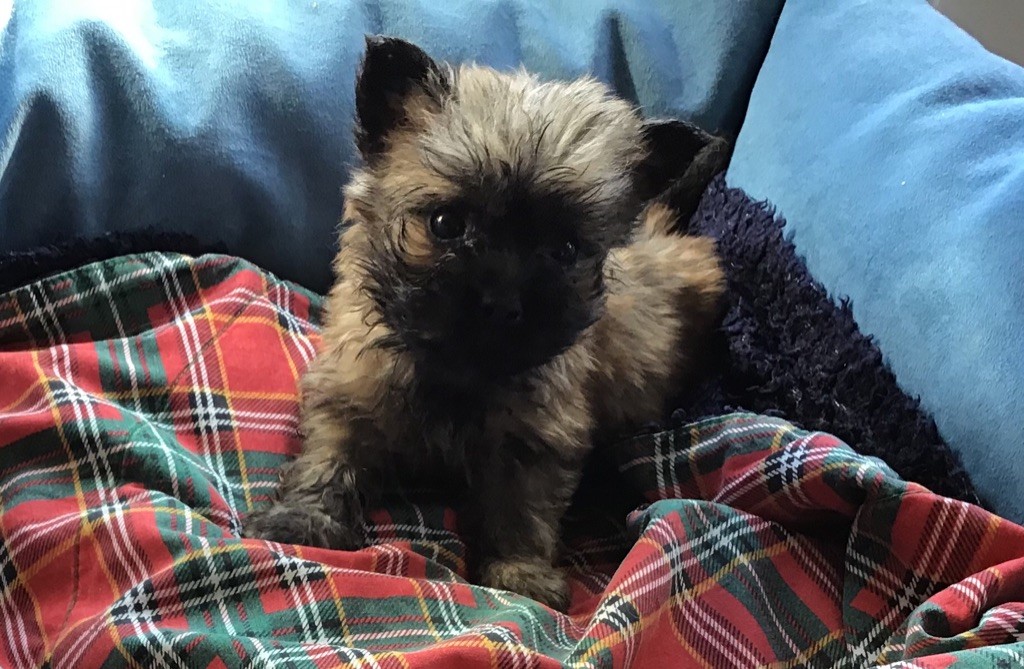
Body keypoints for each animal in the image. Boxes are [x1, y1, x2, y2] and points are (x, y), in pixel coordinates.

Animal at [244, 36, 727, 611]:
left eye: (565, 249)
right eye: (446, 223)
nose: (502, 301)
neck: (459, 374)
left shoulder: (536, 441)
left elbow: (521, 509)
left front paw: (519, 572)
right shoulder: (350, 394)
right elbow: (327, 459)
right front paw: (304, 518)